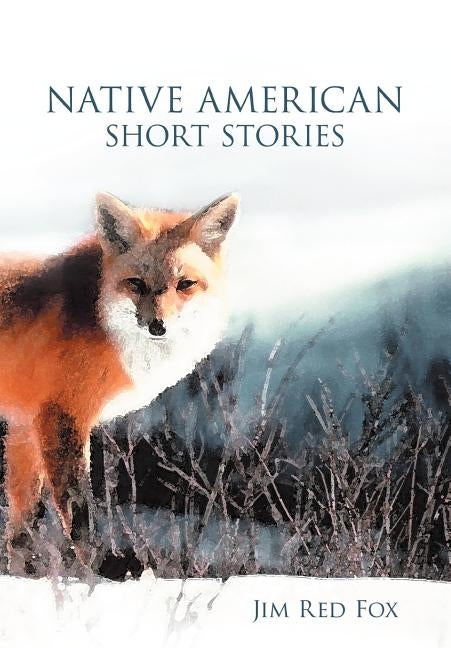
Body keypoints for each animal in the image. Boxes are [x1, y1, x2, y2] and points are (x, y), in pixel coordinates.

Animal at [0, 191, 239, 561]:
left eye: (184, 285)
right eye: (136, 284)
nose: (158, 326)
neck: (101, 320)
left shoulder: (24, 424)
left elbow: (21, 532)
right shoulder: (61, 417)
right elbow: (80, 517)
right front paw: (97, 568)